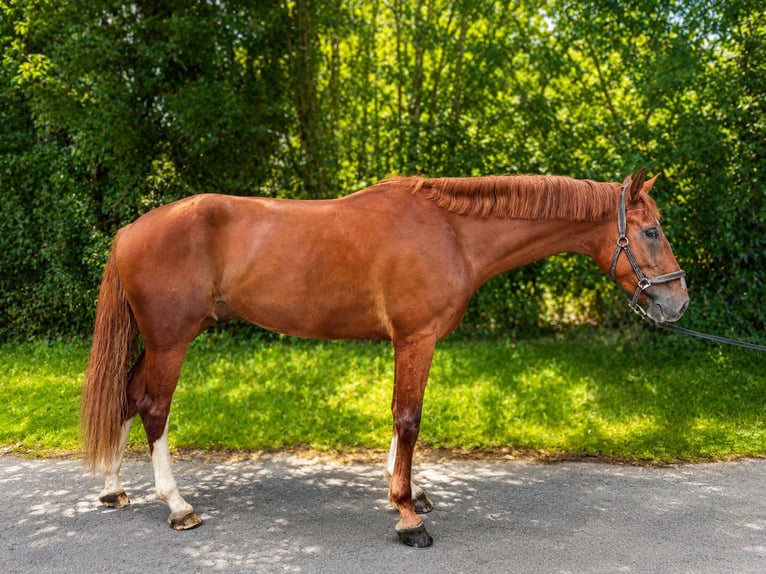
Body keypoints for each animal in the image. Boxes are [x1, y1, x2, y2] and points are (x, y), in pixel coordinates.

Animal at [82, 168, 688, 547]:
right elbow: (409, 419)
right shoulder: (415, 338)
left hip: (156, 342)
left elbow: (400, 420)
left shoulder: (411, 341)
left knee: (126, 398)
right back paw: (177, 506)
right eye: (651, 230)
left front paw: (406, 493)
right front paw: (407, 517)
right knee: (154, 409)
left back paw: (114, 489)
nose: (677, 302)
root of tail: (131, 230)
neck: (451, 231)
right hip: (172, 341)